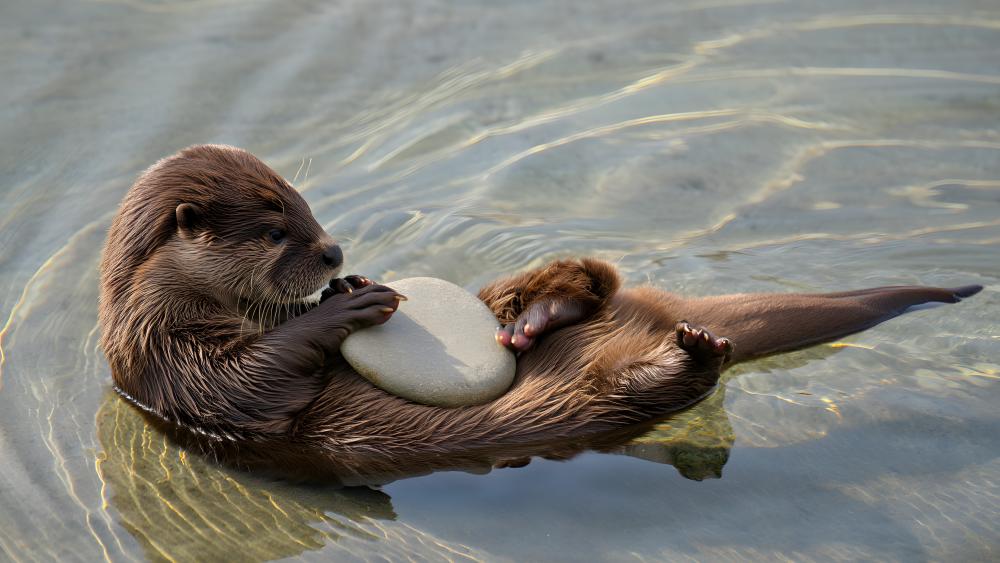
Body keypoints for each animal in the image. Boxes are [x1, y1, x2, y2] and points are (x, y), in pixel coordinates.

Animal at [99, 144, 982, 484]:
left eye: (305, 204)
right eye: (276, 229)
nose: (333, 249)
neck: (153, 324)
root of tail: (663, 317)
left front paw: (358, 285)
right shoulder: (181, 374)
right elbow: (264, 375)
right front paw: (354, 302)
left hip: (565, 302)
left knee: (591, 278)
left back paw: (540, 309)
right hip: (613, 402)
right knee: (670, 382)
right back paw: (690, 349)